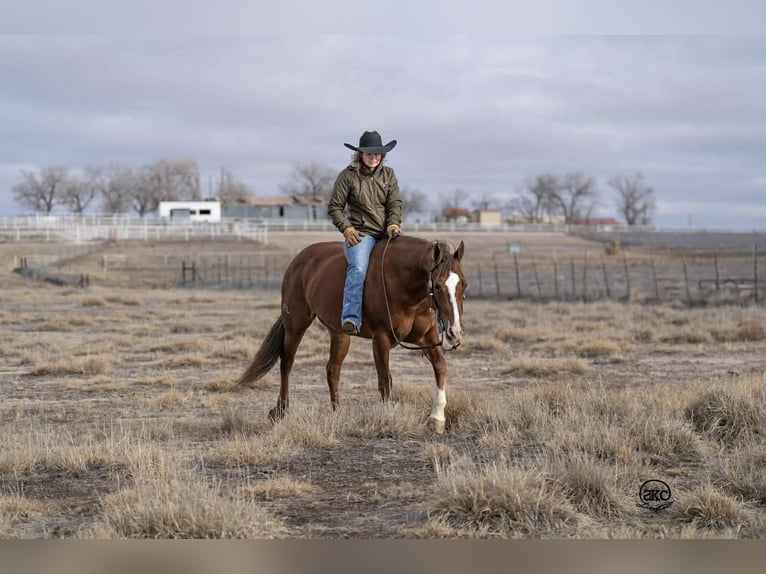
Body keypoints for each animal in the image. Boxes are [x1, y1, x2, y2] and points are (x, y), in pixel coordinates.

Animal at [236, 235, 467, 434]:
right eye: (438, 286)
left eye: (464, 284)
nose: (454, 331)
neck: (402, 283)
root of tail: (298, 261)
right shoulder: (381, 338)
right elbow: (385, 379)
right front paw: (387, 418)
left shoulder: (427, 337)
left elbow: (440, 367)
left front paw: (437, 419)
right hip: (296, 325)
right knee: (287, 363)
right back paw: (281, 411)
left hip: (339, 334)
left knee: (332, 370)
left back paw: (336, 412)